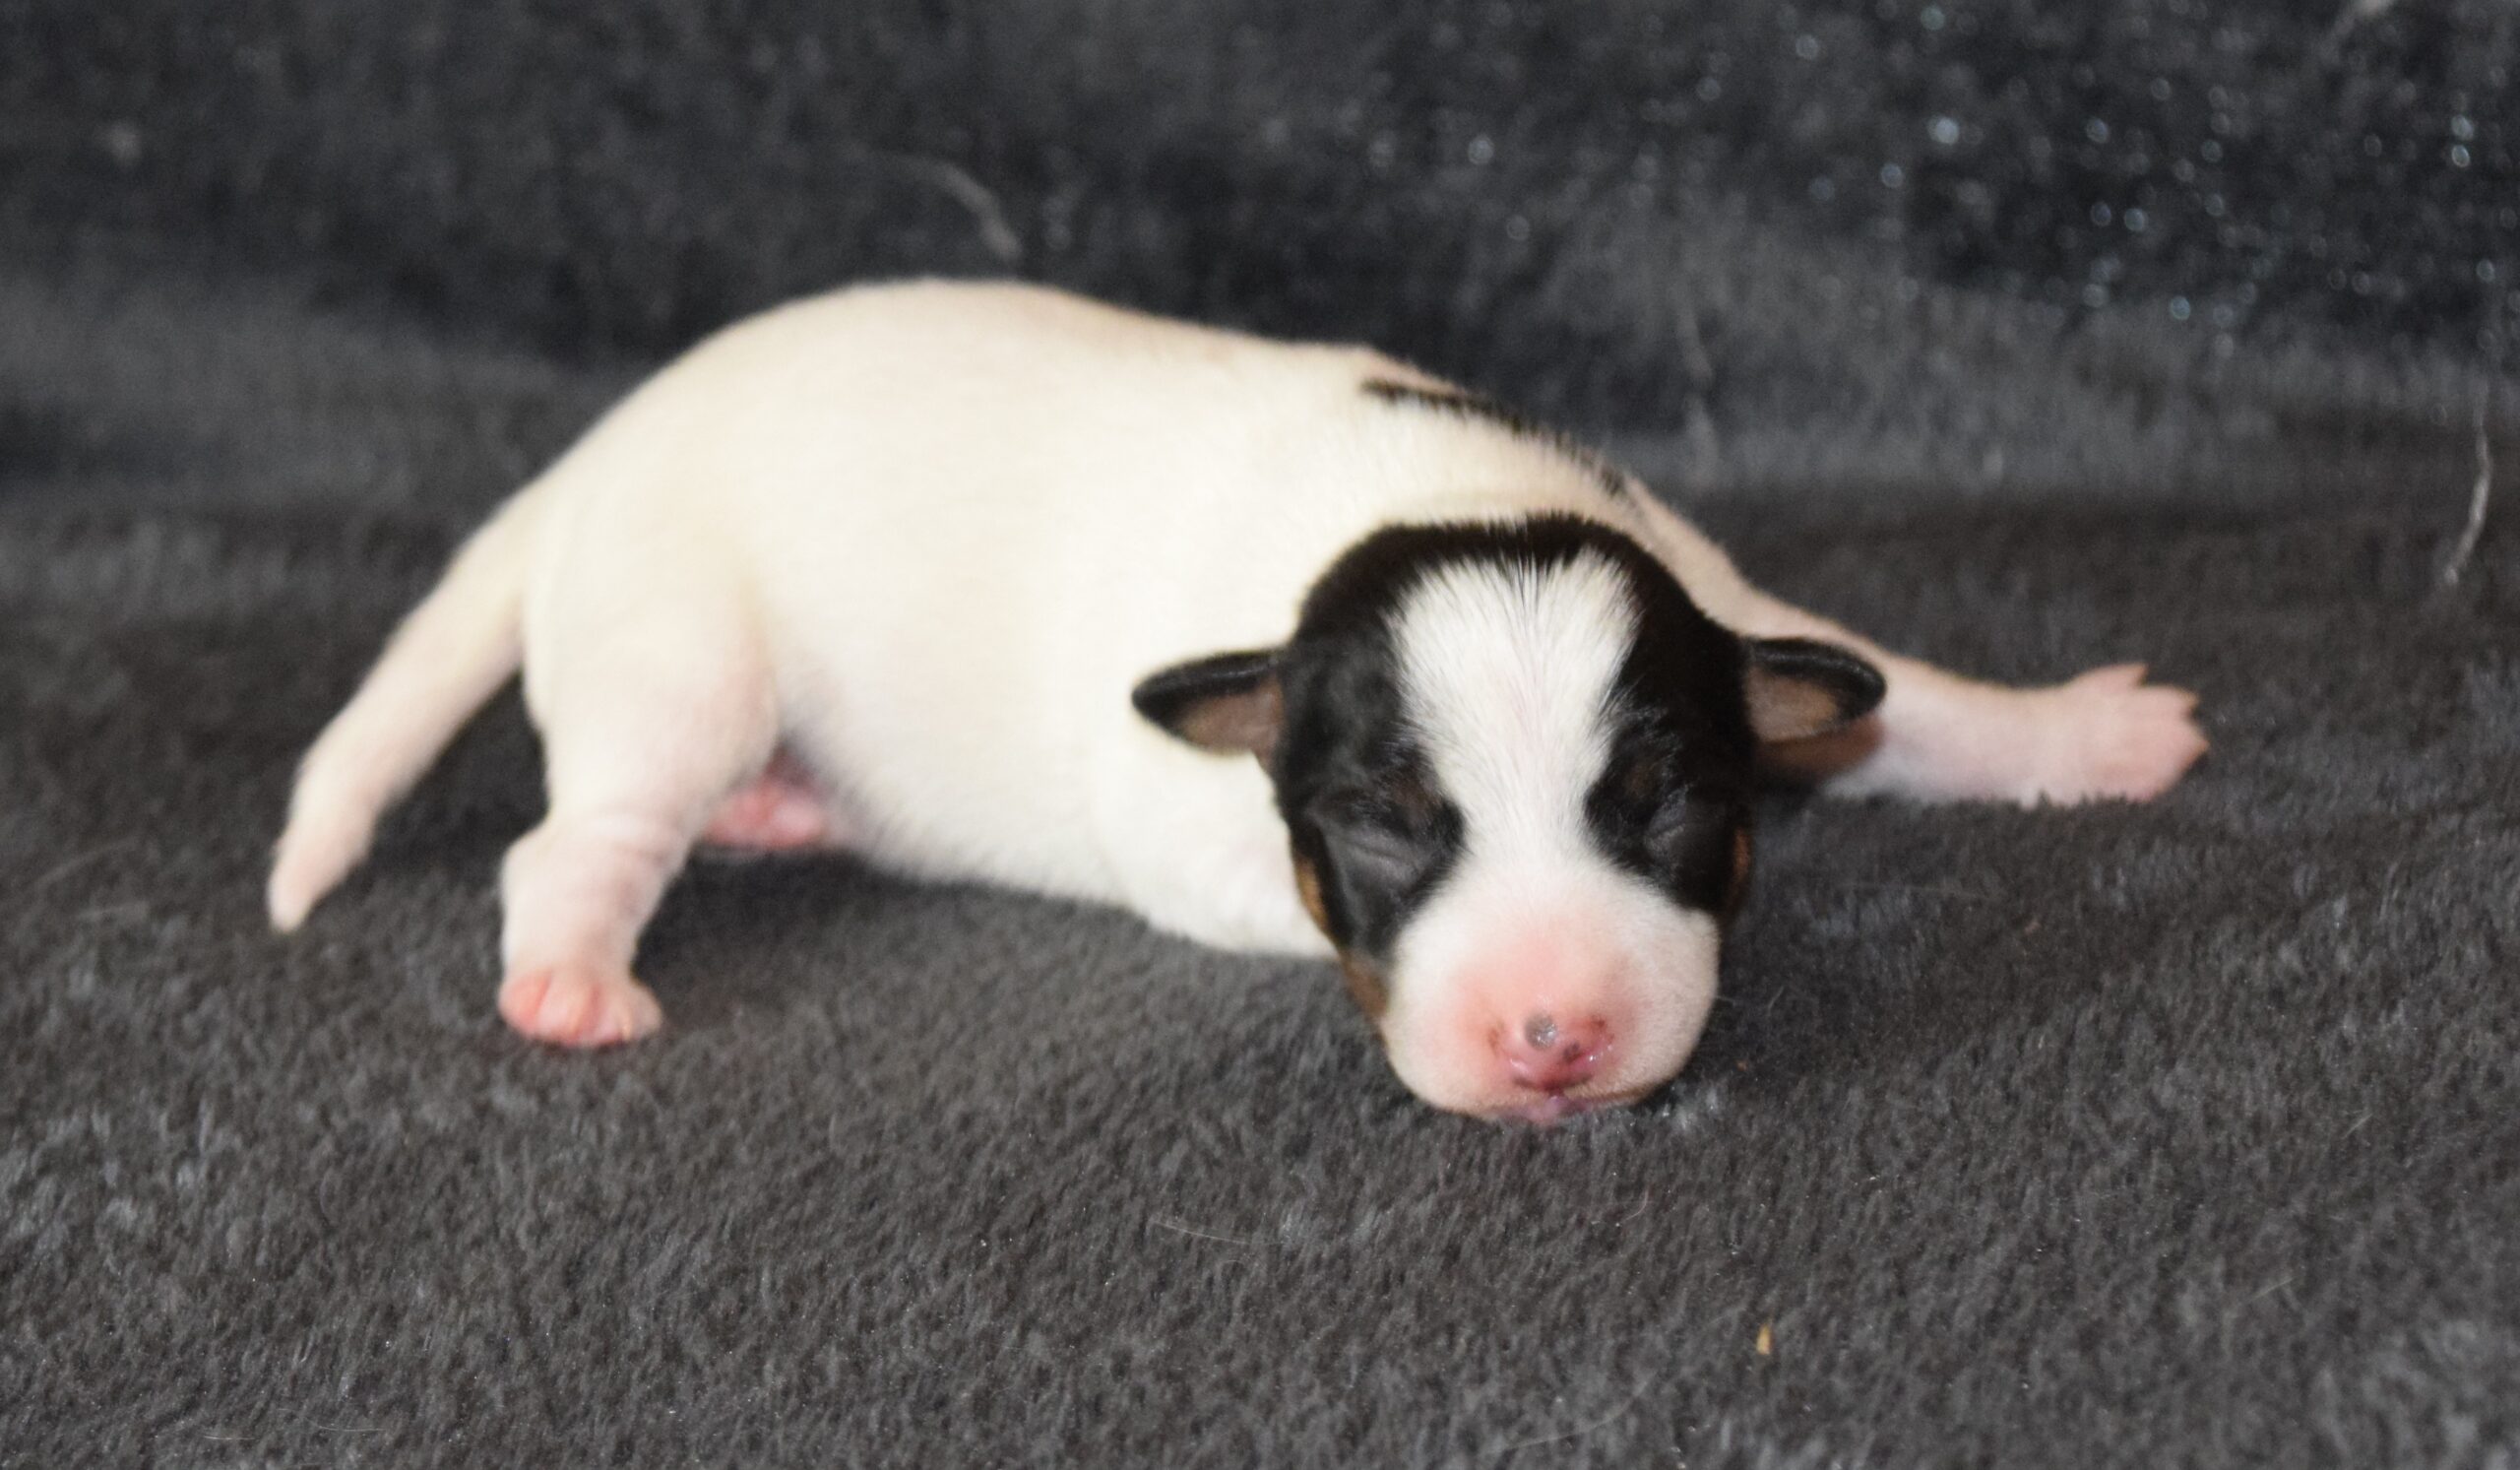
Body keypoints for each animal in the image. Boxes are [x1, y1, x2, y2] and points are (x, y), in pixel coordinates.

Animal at [269, 281, 2206, 1123]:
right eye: (1382, 828)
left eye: (1664, 804)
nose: (1554, 1038)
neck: (1431, 496)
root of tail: (586, 461)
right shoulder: (1188, 832)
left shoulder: (1730, 609)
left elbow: (1902, 699)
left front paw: (2081, 731)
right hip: (676, 645)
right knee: (579, 828)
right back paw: (575, 963)